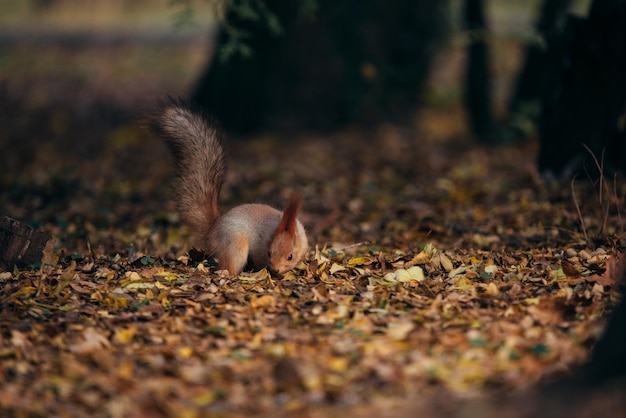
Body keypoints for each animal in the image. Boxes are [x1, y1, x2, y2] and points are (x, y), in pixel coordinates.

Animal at [144, 96, 304, 276]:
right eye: (269, 253)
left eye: (290, 256)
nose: (275, 269)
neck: (284, 227)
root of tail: (213, 228)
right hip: (235, 245)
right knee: (228, 266)